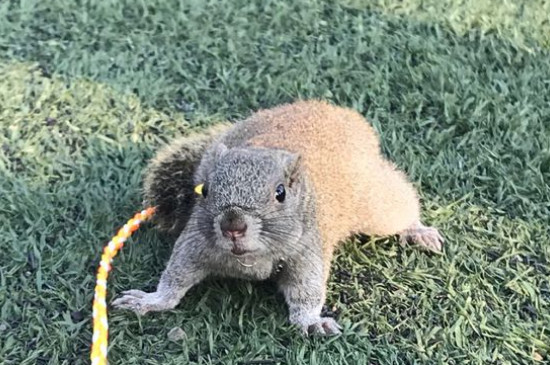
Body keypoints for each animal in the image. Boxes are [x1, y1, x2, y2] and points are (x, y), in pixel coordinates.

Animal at [114, 98, 446, 334]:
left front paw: (311, 321)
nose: (233, 226)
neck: (249, 258)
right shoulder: (196, 242)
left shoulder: (307, 250)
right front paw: (150, 301)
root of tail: (345, 117)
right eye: (204, 190)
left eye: (280, 193)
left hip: (375, 203)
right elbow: (176, 277)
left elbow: (306, 290)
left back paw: (417, 231)